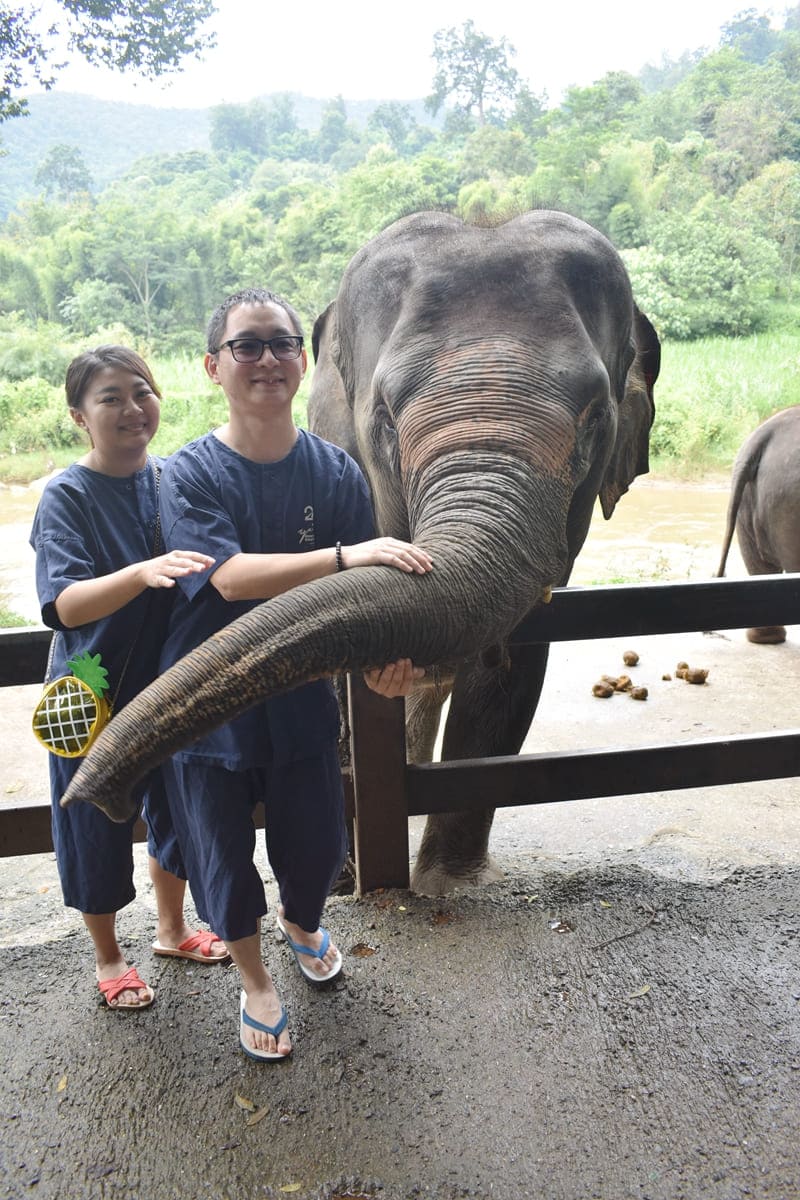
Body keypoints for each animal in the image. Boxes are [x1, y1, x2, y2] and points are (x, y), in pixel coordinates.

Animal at [62, 211, 662, 897]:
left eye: (595, 419)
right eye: (385, 421)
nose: (98, 802)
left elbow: (511, 670)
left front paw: (451, 886)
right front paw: (344, 881)